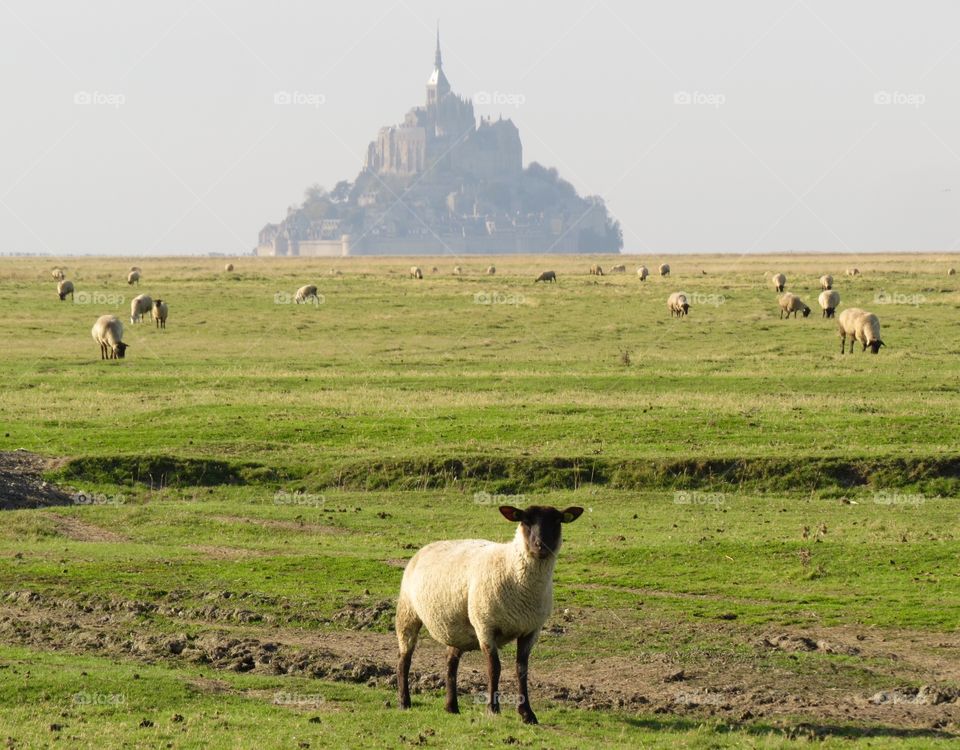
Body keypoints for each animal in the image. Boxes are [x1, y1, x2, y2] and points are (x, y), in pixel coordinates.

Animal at [394, 508, 580, 724]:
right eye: (525, 520)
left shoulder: (531, 630)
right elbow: (494, 668)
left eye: (557, 521)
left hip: (458, 627)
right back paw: (404, 702)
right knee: (404, 659)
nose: (541, 546)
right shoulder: (485, 626)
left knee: (451, 662)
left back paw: (451, 706)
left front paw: (527, 713)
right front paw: (492, 709)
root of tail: (426, 547)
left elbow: (522, 670)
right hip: (408, 612)